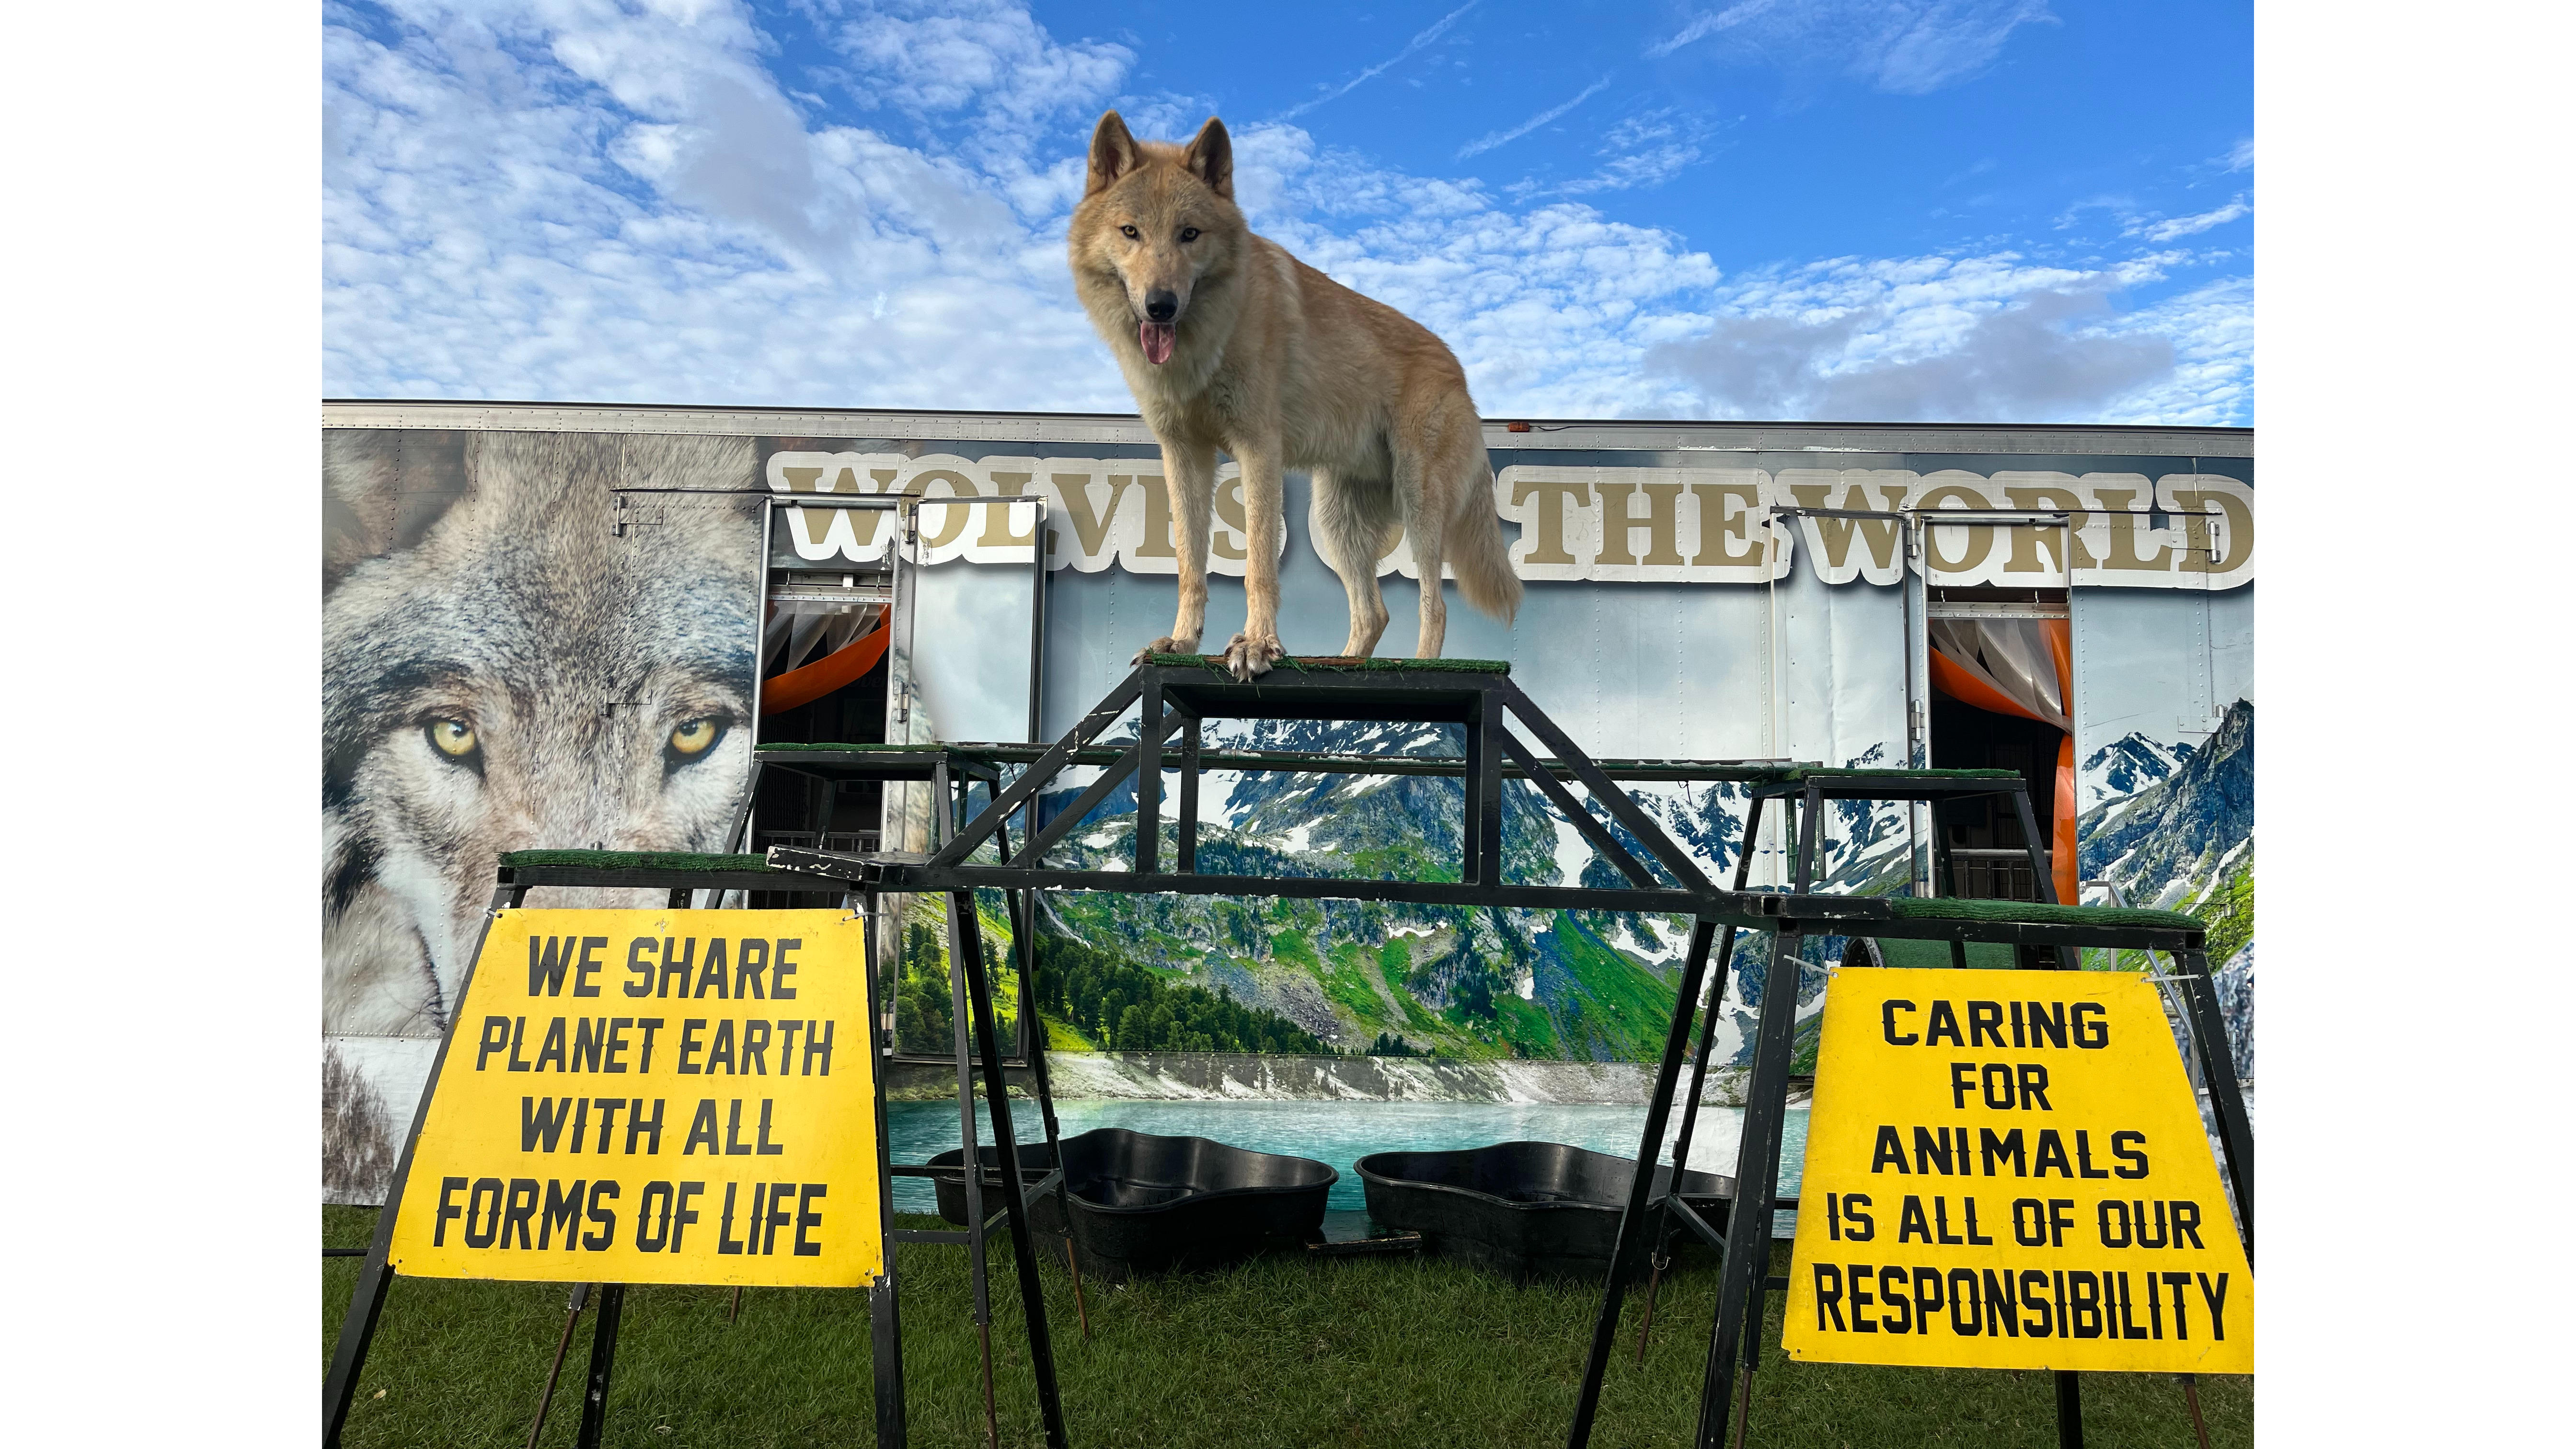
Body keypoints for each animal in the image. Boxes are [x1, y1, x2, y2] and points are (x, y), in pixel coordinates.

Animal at [1069, 111, 1521, 680]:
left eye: (1189, 234)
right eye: (1131, 232)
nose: (1161, 306)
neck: (1210, 338)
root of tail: (1459, 372)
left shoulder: (1258, 448)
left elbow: (1259, 564)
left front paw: (1258, 645)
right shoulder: (1184, 455)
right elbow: (1190, 564)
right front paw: (1182, 642)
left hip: (1419, 508)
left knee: (1434, 605)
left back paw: (1420, 667)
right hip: (1338, 522)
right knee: (1374, 612)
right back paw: (1339, 664)